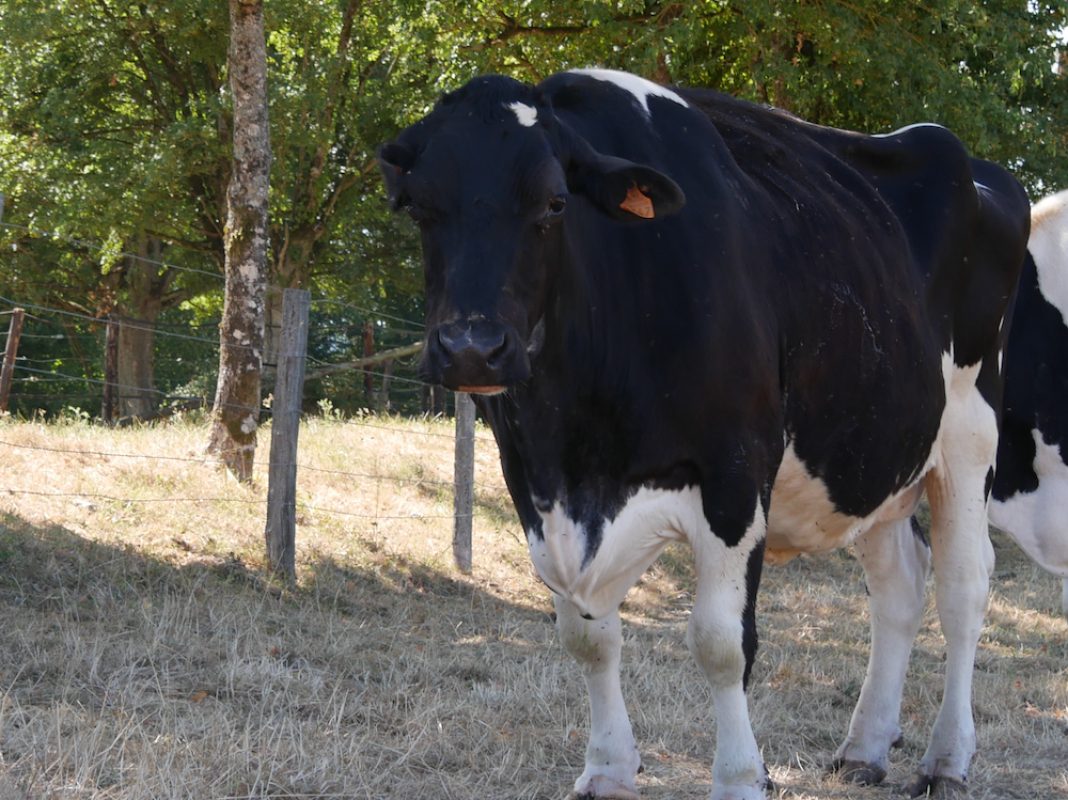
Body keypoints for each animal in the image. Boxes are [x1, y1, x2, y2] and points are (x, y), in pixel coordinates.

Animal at [379, 69, 1030, 800]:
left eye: (553, 203)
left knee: (964, 586)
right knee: (900, 585)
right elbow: (586, 636)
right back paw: (864, 749)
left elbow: (721, 643)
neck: (580, 450)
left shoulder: (735, 474)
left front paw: (741, 778)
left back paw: (947, 759)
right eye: (417, 206)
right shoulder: (531, 482)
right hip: (872, 453)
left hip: (969, 436)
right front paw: (606, 770)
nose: (472, 349)